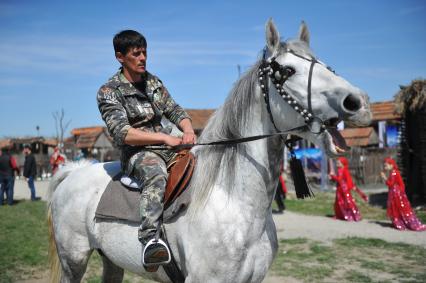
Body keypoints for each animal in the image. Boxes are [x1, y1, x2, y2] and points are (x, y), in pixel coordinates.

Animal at [48, 20, 372, 283]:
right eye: (288, 71)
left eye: (324, 64)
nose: (358, 102)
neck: (234, 203)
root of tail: (73, 175)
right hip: (74, 261)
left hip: (110, 261)